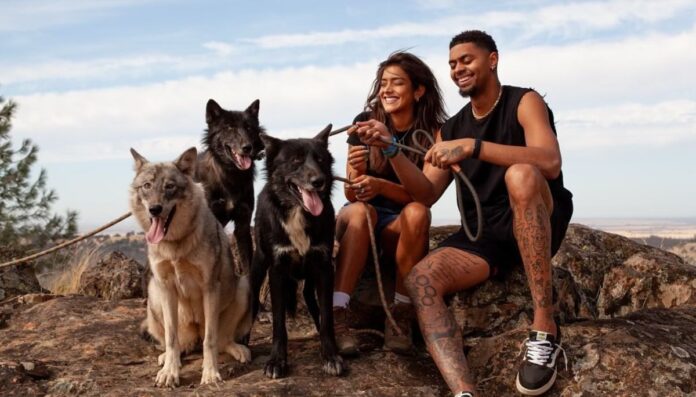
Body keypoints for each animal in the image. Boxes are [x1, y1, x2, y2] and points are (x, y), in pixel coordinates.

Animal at [130, 146, 253, 386]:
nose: (155, 209)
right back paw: (168, 358)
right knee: (179, 345)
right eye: (147, 186)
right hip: (154, 293)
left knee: (221, 340)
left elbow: (210, 341)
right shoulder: (166, 287)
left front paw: (210, 374)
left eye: (169, 186)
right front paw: (169, 372)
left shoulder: (210, 287)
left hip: (243, 285)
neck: (175, 245)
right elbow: (171, 338)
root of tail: (194, 333)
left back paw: (239, 350)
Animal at [253, 124, 346, 378]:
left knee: (311, 300)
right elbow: (278, 323)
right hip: (258, 264)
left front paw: (330, 355)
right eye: (295, 160)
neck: (297, 212)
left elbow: (327, 318)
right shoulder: (276, 271)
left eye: (321, 159)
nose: (319, 181)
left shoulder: (325, 267)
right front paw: (276, 361)